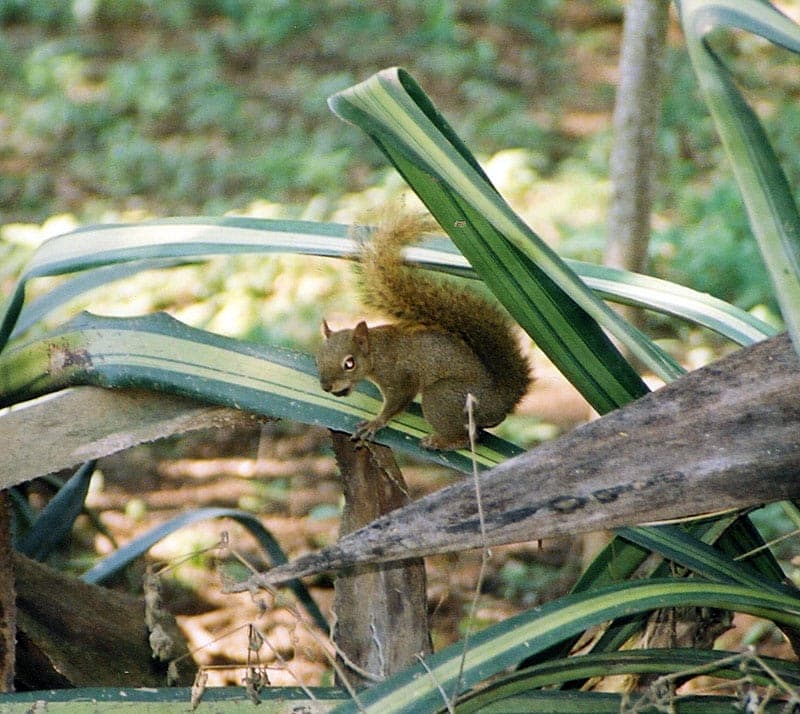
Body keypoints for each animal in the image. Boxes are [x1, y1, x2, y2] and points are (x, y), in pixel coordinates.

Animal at [316, 211, 531, 451]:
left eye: (349, 363)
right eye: (317, 359)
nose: (326, 387)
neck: (376, 352)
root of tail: (501, 399)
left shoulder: (399, 376)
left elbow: (398, 400)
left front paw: (375, 423)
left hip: (443, 398)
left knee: (467, 438)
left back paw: (438, 441)